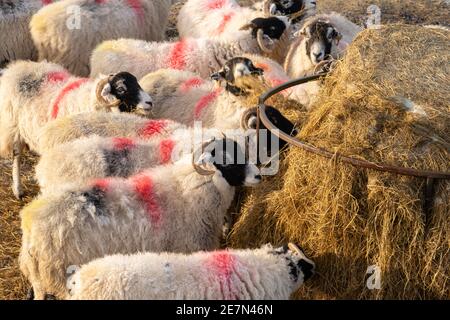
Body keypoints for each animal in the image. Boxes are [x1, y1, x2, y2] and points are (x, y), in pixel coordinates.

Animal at [0, 60, 153, 198]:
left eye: (137, 83)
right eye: (121, 89)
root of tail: (16, 67)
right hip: (14, 129)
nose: (149, 102)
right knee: (17, 157)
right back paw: (18, 190)